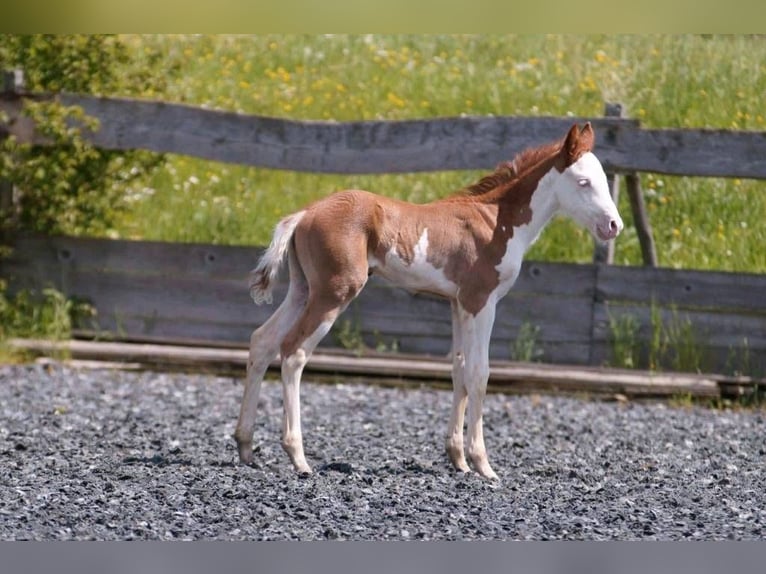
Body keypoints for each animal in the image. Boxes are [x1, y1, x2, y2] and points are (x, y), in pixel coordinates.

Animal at [237, 125, 628, 482]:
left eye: (603, 179)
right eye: (583, 182)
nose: (614, 225)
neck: (497, 222)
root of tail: (304, 214)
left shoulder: (457, 304)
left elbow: (458, 370)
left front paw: (458, 459)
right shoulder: (481, 302)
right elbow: (479, 374)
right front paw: (483, 465)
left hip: (303, 289)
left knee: (263, 341)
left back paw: (245, 446)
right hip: (334, 293)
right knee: (294, 352)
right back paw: (298, 457)